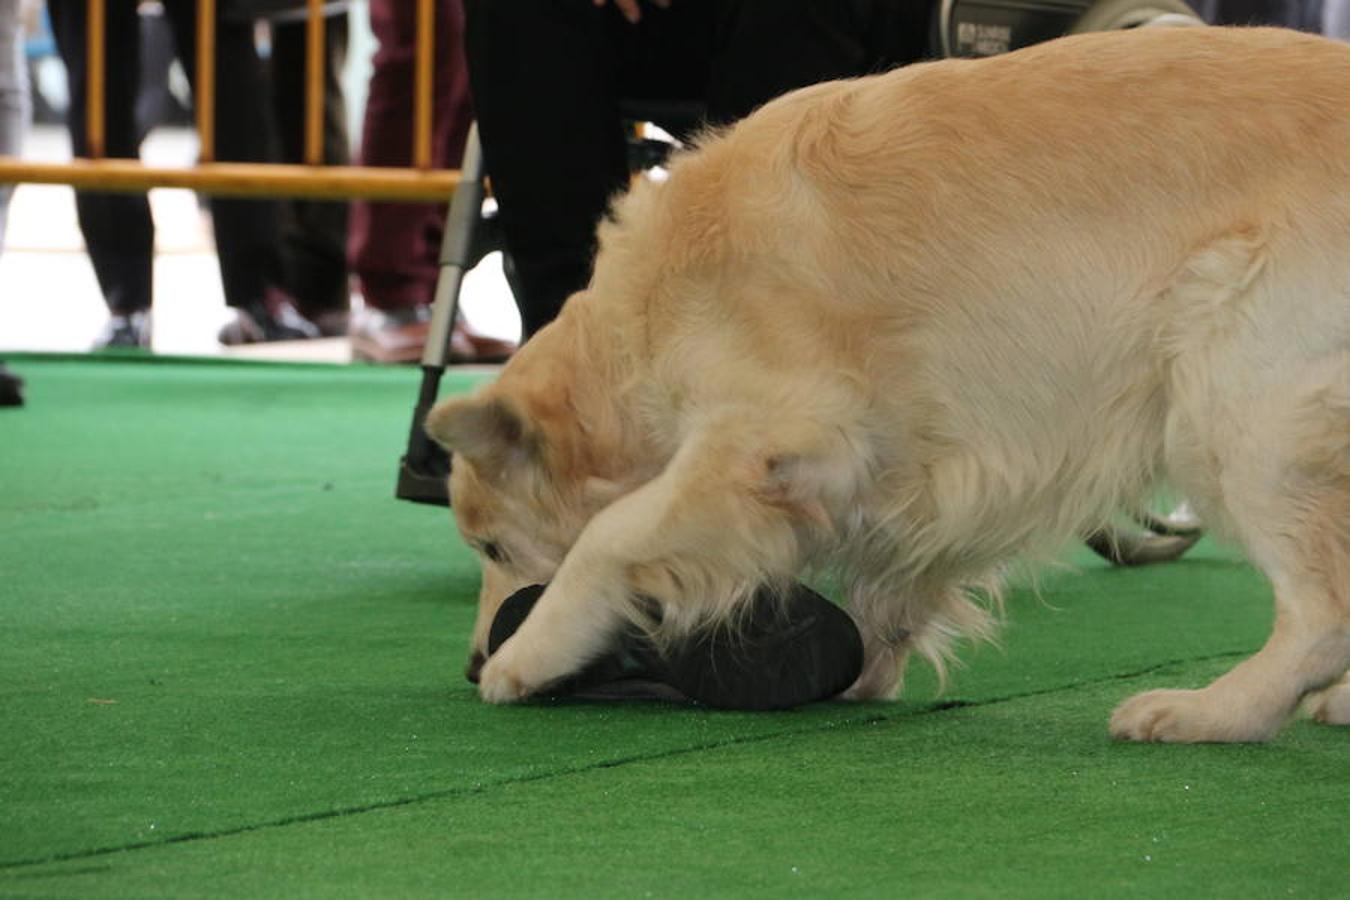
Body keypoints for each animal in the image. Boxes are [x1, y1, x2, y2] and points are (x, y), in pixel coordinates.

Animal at [429, 28, 1350, 744]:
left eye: (494, 549)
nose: (469, 661)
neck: (643, 321)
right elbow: (894, 574)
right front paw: (869, 660)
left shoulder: (779, 431)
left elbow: (612, 533)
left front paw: (527, 653)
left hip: (1234, 407)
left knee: (1321, 614)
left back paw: (1211, 712)